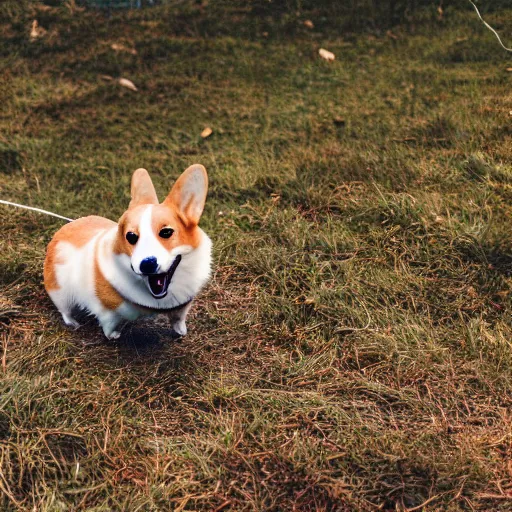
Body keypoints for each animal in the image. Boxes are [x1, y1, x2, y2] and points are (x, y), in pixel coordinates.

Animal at [43, 165, 212, 340]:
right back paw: (73, 322)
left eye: (166, 232)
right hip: (60, 292)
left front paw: (181, 331)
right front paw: (113, 336)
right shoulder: (106, 312)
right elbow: (109, 326)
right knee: (65, 310)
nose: (147, 264)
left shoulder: (182, 306)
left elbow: (178, 318)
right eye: (130, 236)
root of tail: (60, 232)